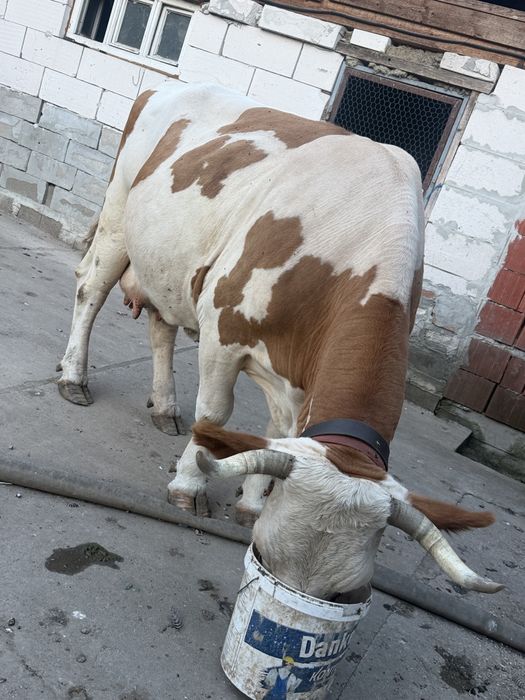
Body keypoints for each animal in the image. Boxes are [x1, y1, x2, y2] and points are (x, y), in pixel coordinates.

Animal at [57, 81, 502, 600]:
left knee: (161, 328)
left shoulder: (297, 371)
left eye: (341, 593)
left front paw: (252, 502)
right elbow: (215, 415)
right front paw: (190, 486)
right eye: (265, 556)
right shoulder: (223, 329)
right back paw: (74, 377)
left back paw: (165, 408)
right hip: (118, 216)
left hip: (169, 267)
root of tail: (167, 84)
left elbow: (281, 436)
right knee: (90, 289)